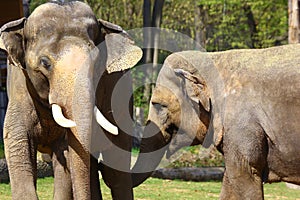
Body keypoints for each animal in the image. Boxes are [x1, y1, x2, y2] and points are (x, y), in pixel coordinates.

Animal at [0, 1, 142, 200]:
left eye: (97, 63)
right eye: (45, 63)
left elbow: (66, 152)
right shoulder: (19, 87)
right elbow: (18, 143)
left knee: (115, 172)